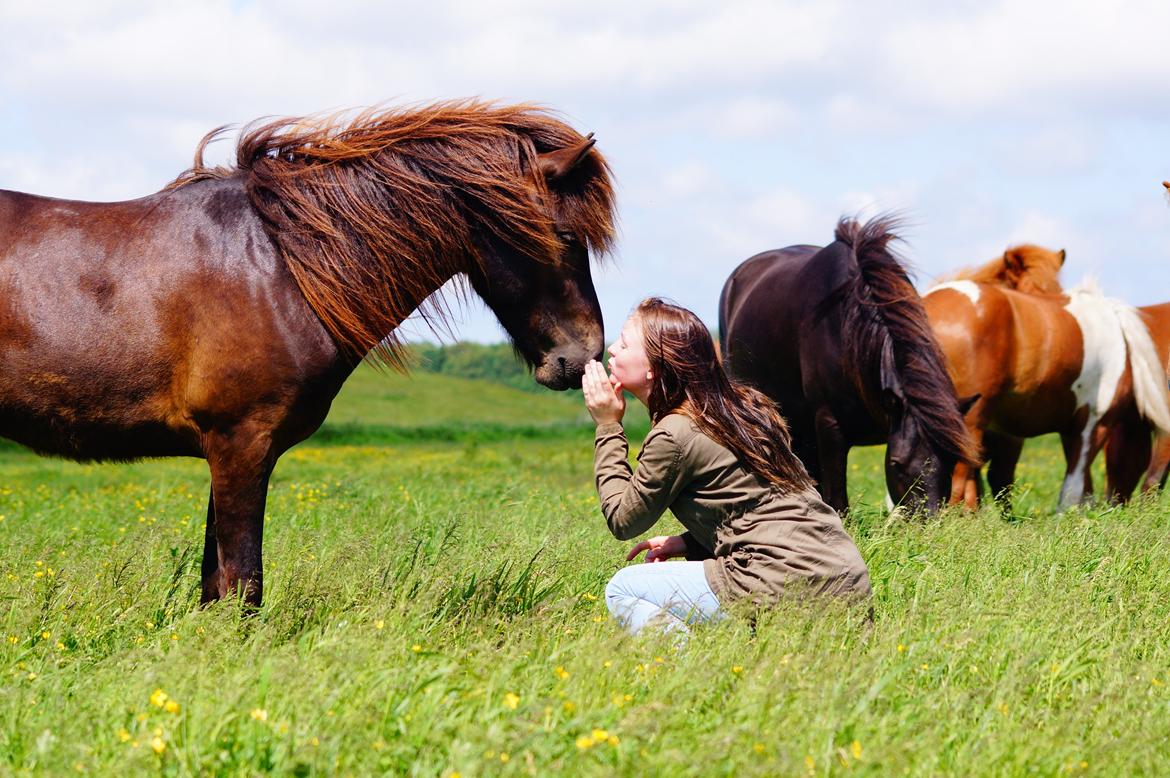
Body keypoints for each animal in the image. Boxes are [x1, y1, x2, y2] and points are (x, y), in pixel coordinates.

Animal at [0, 98, 617, 608]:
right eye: (566, 237)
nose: (583, 356)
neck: (279, 266)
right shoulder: (241, 444)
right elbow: (242, 583)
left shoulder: (230, 450)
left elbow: (215, 584)